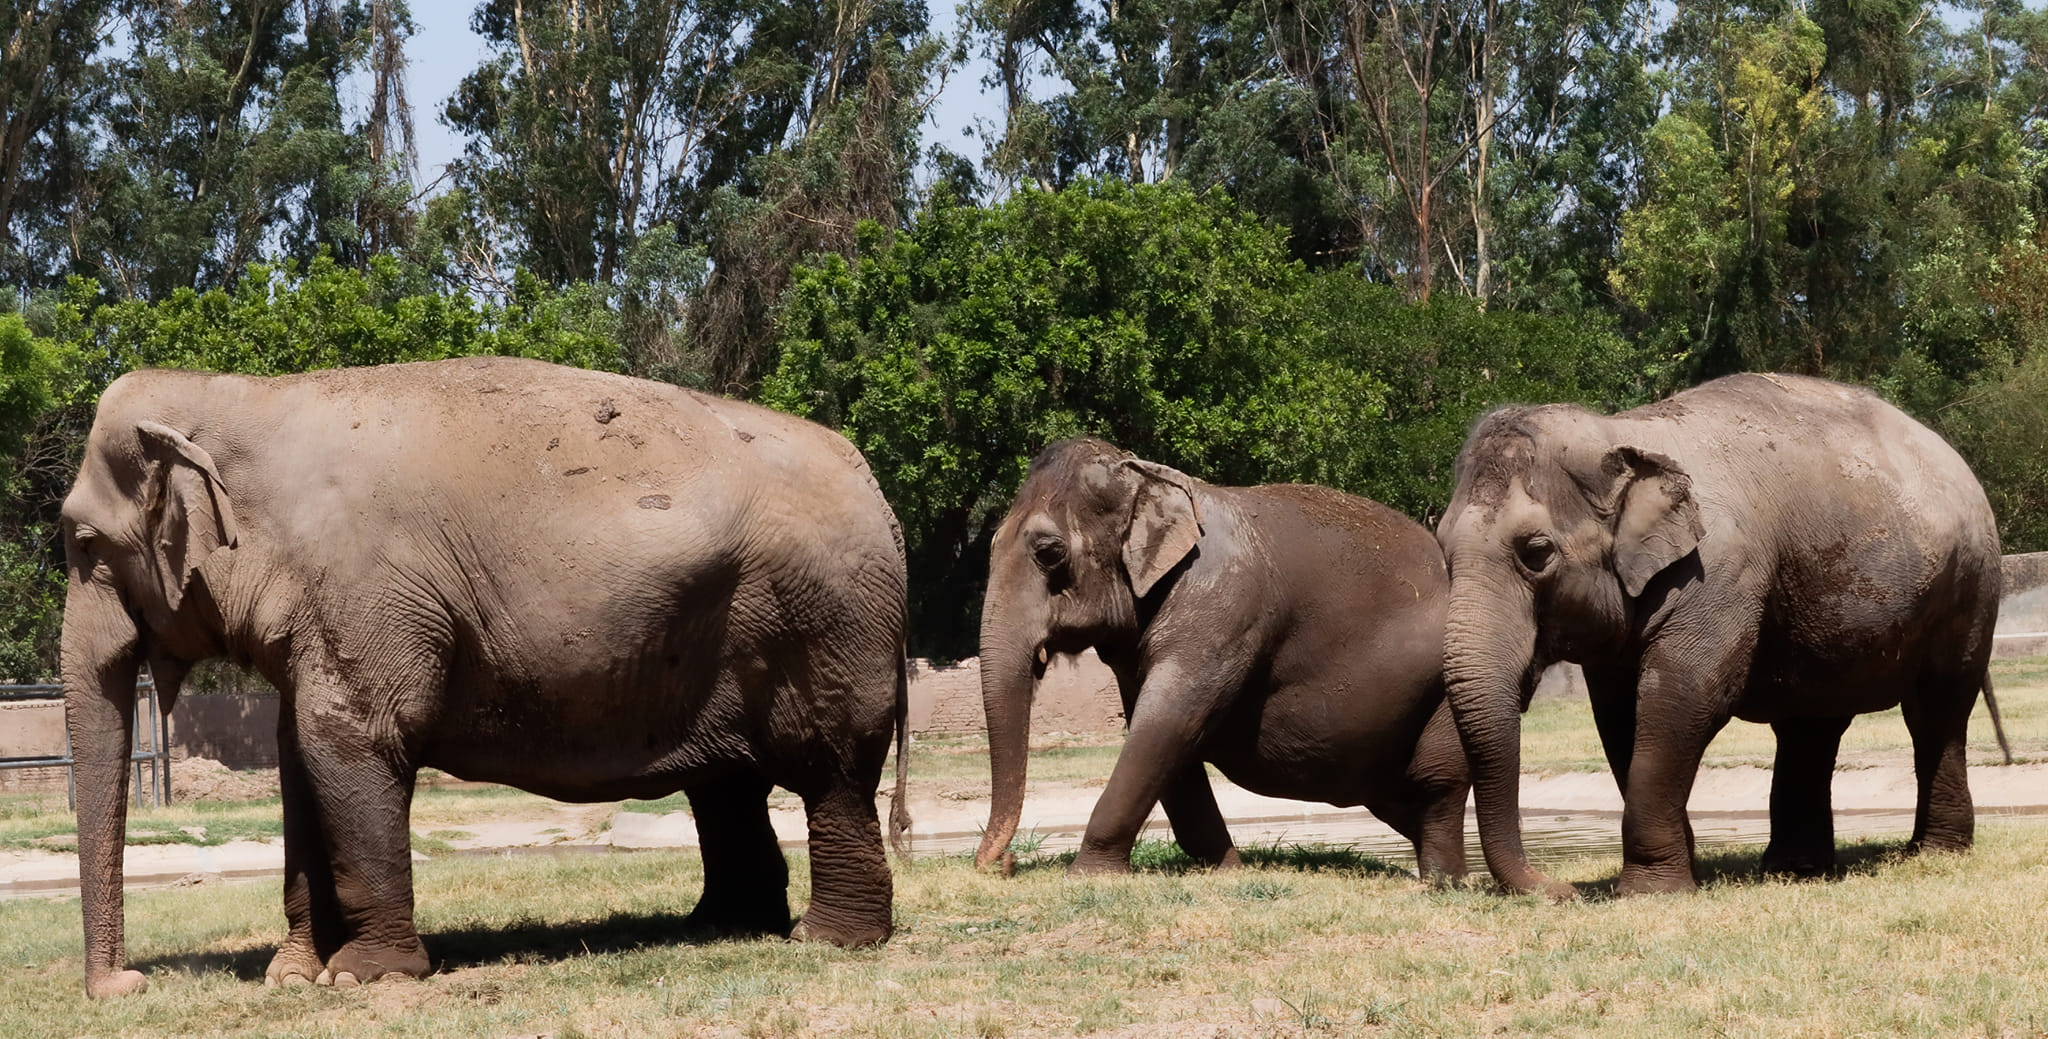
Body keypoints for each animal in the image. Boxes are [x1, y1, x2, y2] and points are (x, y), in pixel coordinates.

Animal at [59, 356, 910, 997]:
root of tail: (879, 492)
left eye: (83, 543)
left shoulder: (368, 598)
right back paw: (721, 926)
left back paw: (825, 940)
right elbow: (300, 754)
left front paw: (363, 977)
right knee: (728, 786)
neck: (243, 394)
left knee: (829, 771)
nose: (129, 984)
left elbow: (350, 741)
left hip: (826, 623)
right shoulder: (326, 620)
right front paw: (294, 975)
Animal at [973, 439, 1470, 878]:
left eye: (1049, 552)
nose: (1003, 862)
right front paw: (1227, 868)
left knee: (1438, 785)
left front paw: (1086, 875)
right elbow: (1160, 734)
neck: (1146, 477)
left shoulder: (1221, 603)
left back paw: (1444, 880)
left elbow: (1169, 722)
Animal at [1436, 372, 2005, 899]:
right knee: (1811, 725)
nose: (1561, 891)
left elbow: (1681, 695)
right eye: (1441, 548)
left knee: (1936, 711)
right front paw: (1681, 868)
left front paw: (1652, 892)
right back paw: (1794, 869)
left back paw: (1934, 853)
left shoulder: (1720, 574)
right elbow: (1619, 715)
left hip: (1970, 586)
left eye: (1536, 552)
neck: (1623, 432)